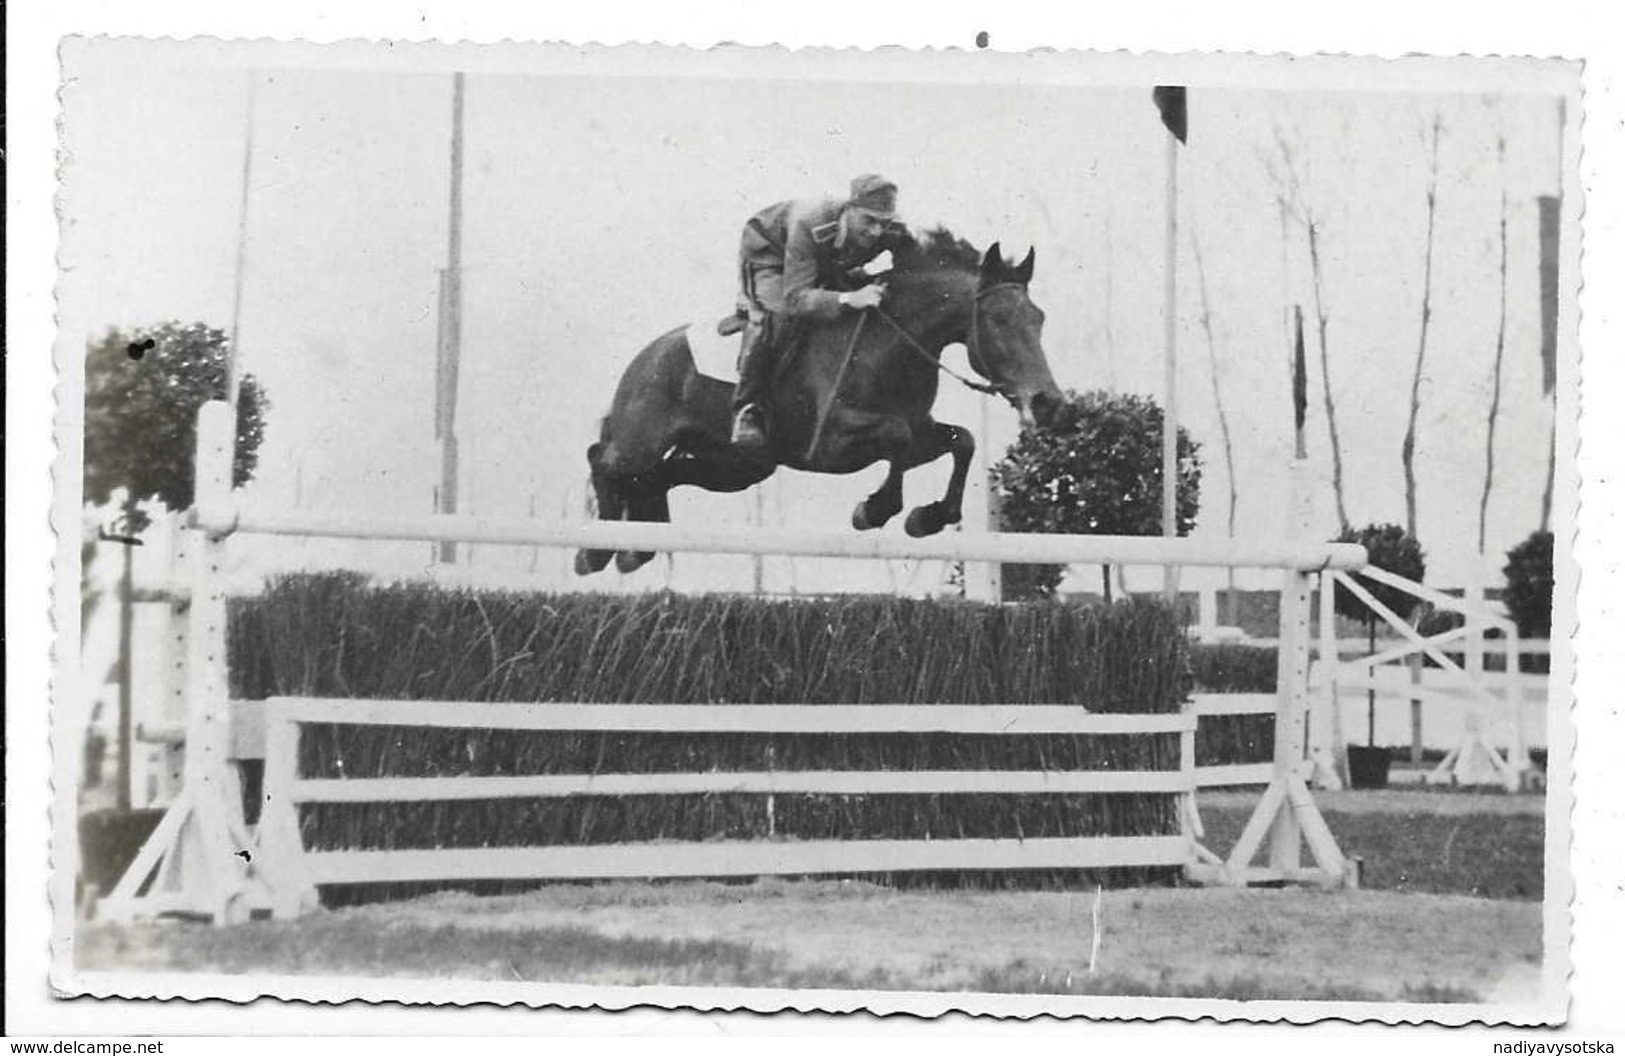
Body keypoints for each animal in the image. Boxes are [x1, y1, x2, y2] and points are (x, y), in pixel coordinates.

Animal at [575, 230, 1066, 575]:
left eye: (1039, 319)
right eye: (998, 320)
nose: (1048, 403)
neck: (892, 343)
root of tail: (645, 357)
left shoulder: (921, 430)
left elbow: (960, 441)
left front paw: (927, 518)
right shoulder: (832, 444)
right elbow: (897, 438)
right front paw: (874, 510)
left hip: (738, 466)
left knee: (659, 476)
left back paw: (636, 548)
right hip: (643, 442)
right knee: (603, 457)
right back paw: (593, 553)